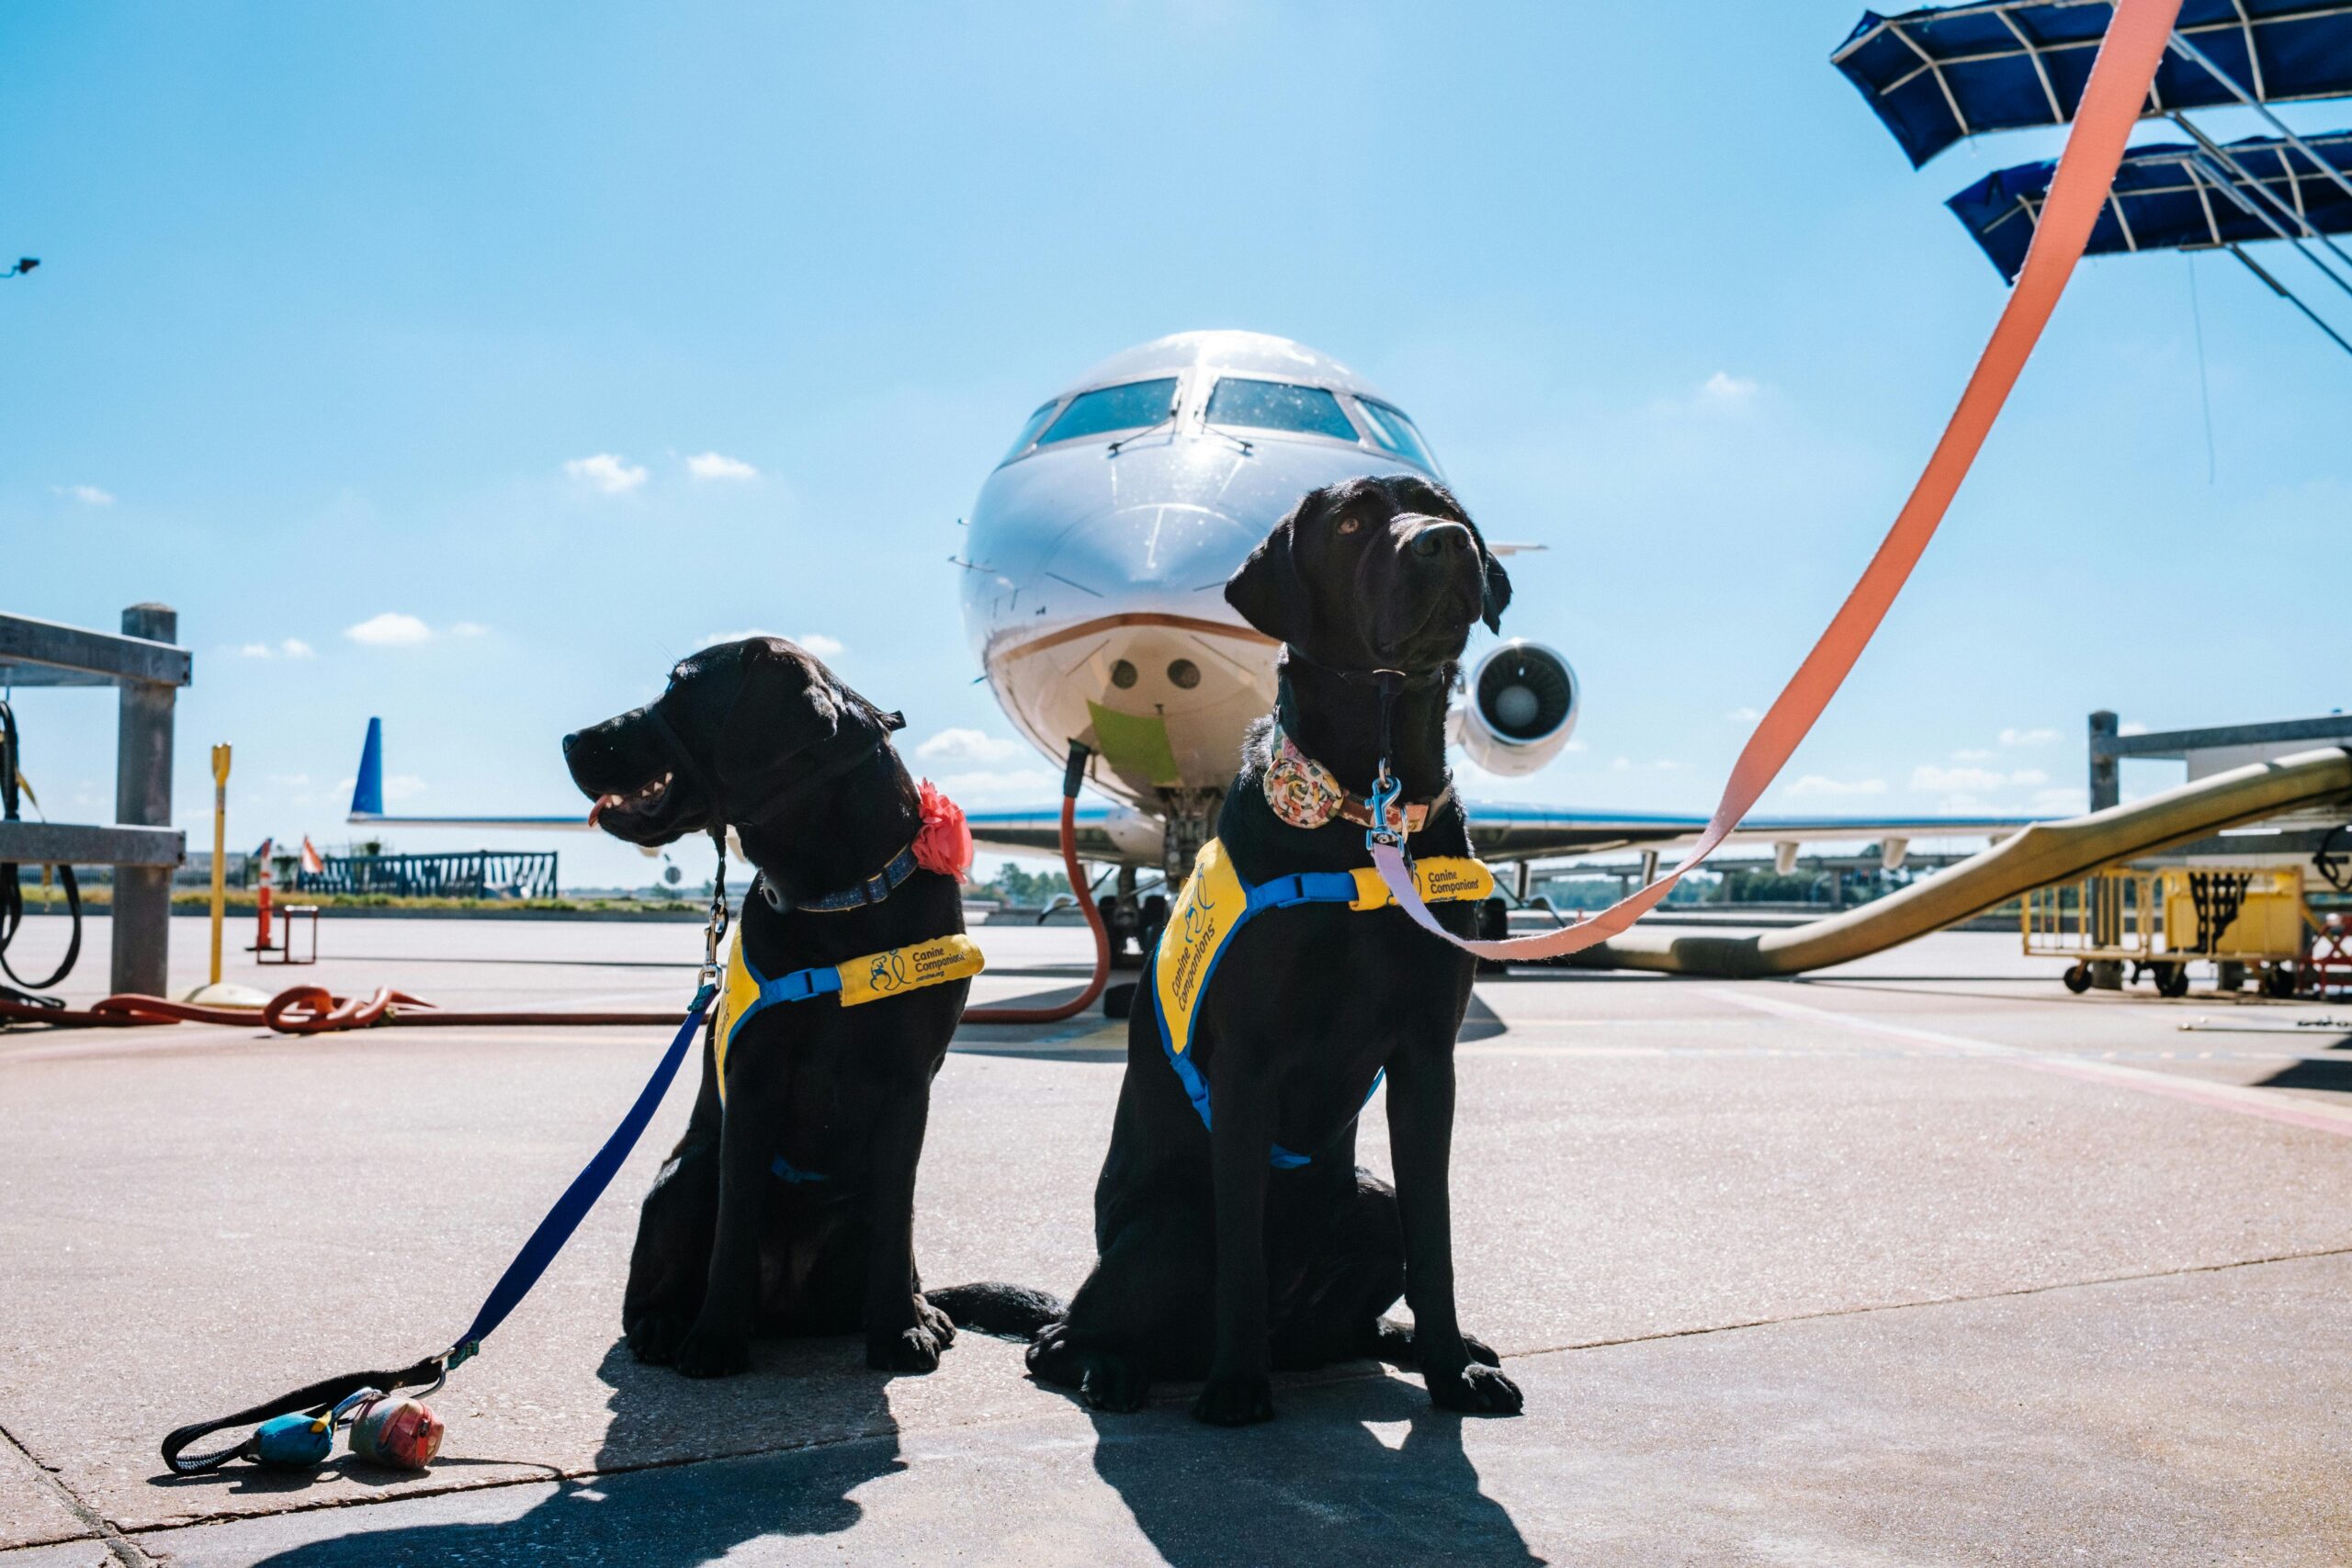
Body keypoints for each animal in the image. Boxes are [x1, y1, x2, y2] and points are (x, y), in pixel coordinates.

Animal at [564, 634, 968, 1372]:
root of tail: (787, 1309)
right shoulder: (753, 1080)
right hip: (686, 1172)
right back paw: (665, 1324)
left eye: (678, 687)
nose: (570, 740)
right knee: (655, 1279)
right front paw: (715, 1338)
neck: (837, 893)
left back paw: (921, 1307)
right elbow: (736, 1217)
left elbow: (898, 1217)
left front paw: (900, 1327)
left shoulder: (910, 1081)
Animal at [950, 474, 1523, 1419]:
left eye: (1445, 508)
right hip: (1170, 1232)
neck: (1367, 804)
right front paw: (1236, 1386)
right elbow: (1243, 1247)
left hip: (1368, 1203)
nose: (1445, 543)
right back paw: (1117, 1368)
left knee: (1357, 1314)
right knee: (1058, 1336)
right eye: (1352, 522)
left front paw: (1451, 1368)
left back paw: (1405, 1343)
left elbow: (1436, 1235)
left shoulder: (1426, 1058)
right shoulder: (1249, 1060)